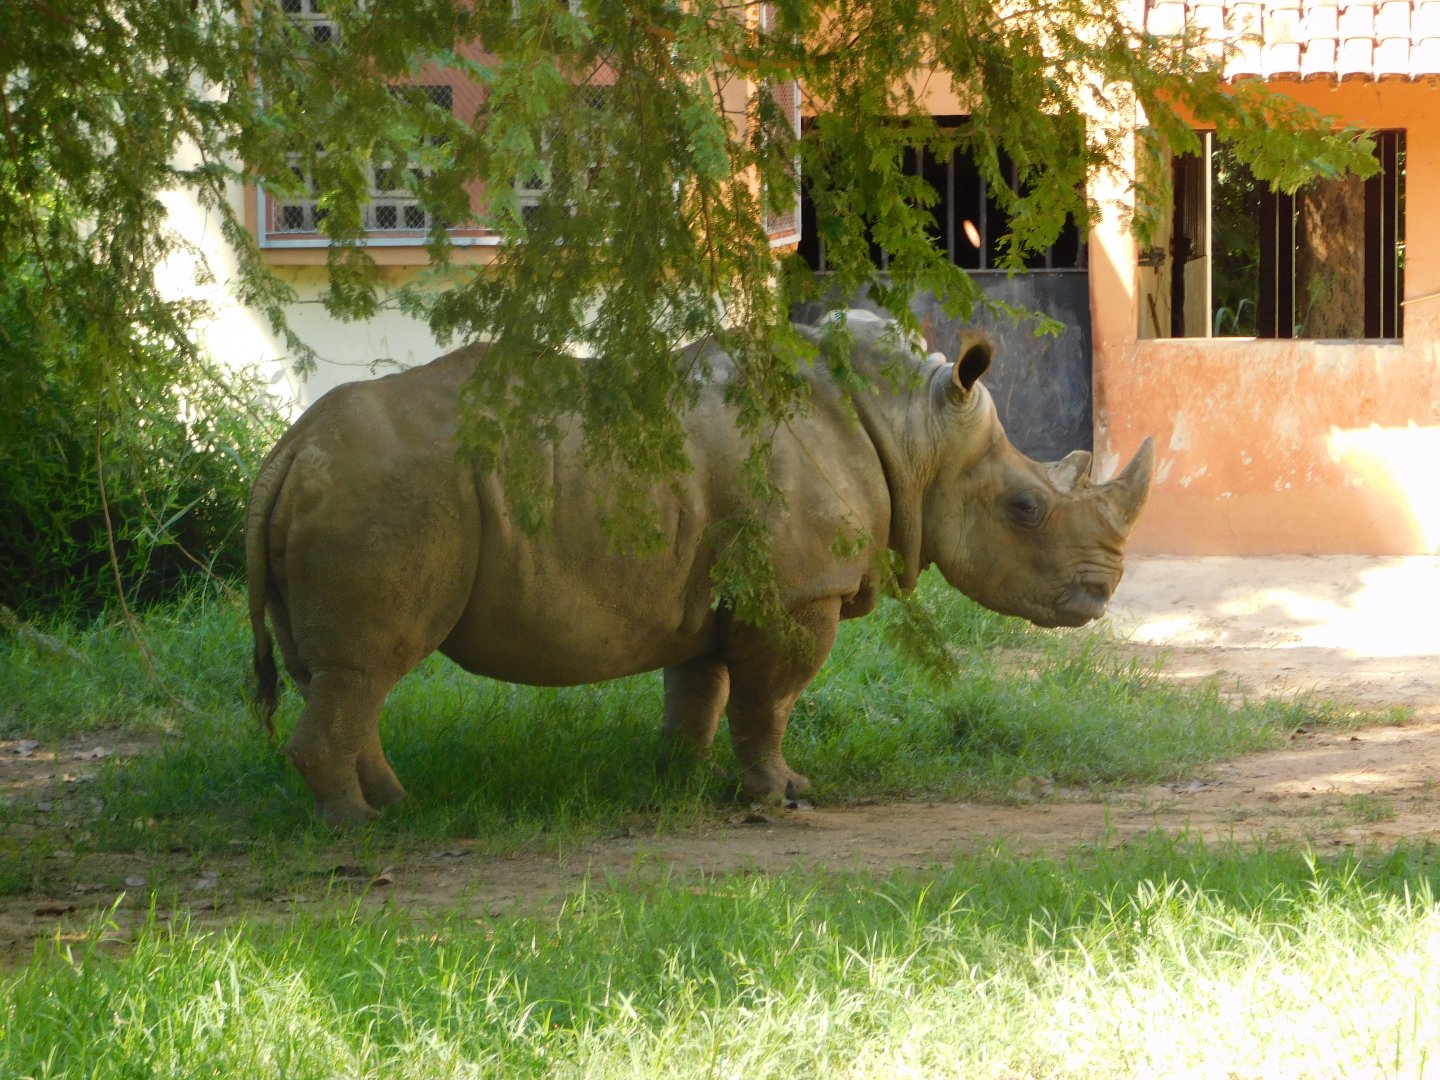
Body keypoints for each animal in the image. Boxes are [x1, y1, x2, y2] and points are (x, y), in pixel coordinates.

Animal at [247, 315, 1153, 826]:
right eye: (1024, 510)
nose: (1102, 595)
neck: (914, 432)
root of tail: (287, 450)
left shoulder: (717, 589)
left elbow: (700, 697)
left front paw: (679, 782)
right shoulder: (796, 591)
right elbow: (768, 702)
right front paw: (785, 794)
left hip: (355, 485)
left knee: (348, 675)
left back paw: (397, 806)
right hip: (382, 490)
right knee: (366, 666)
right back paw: (357, 828)